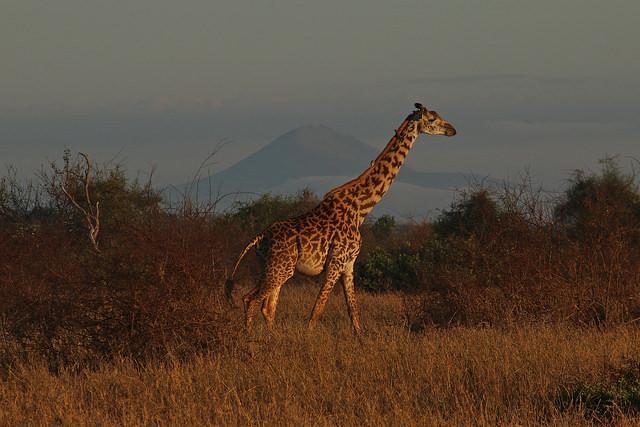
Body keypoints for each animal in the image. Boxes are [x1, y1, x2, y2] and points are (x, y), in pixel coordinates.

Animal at [225, 103, 456, 334]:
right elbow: (317, 310)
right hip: (280, 268)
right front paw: (308, 338)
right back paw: (250, 339)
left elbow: (354, 311)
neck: (361, 209)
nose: (452, 130)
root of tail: (259, 237)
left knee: (267, 307)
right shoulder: (336, 262)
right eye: (433, 119)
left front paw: (360, 339)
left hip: (272, 267)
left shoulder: (349, 264)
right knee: (251, 300)